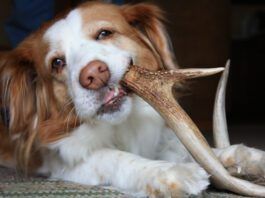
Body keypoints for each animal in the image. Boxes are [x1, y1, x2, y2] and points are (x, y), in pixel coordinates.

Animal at [0, 1, 264, 198]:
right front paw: (169, 172)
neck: (123, 124)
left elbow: (187, 147)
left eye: (104, 33)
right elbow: (111, 157)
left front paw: (243, 157)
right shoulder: (61, 159)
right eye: (57, 63)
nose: (93, 75)